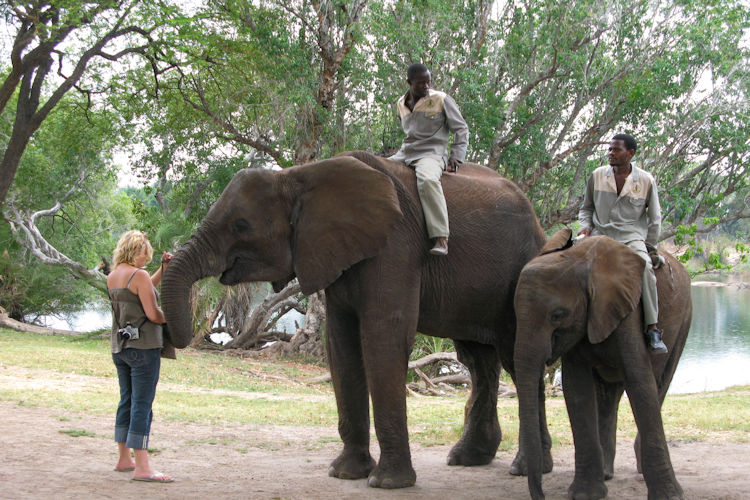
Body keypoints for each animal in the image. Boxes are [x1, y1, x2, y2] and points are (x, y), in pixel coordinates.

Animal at [161, 150, 551, 488]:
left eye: (241, 225)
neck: (300, 175)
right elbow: (341, 345)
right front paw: (345, 474)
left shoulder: (395, 247)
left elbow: (382, 339)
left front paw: (387, 483)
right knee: (478, 360)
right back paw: (468, 459)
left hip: (524, 271)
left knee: (516, 359)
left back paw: (526, 468)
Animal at [513, 229, 691, 500]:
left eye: (557, 315)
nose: (541, 495)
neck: (578, 260)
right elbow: (577, 390)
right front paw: (586, 495)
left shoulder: (628, 312)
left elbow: (640, 382)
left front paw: (670, 496)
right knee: (609, 395)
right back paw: (607, 473)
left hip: (684, 319)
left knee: (661, 381)